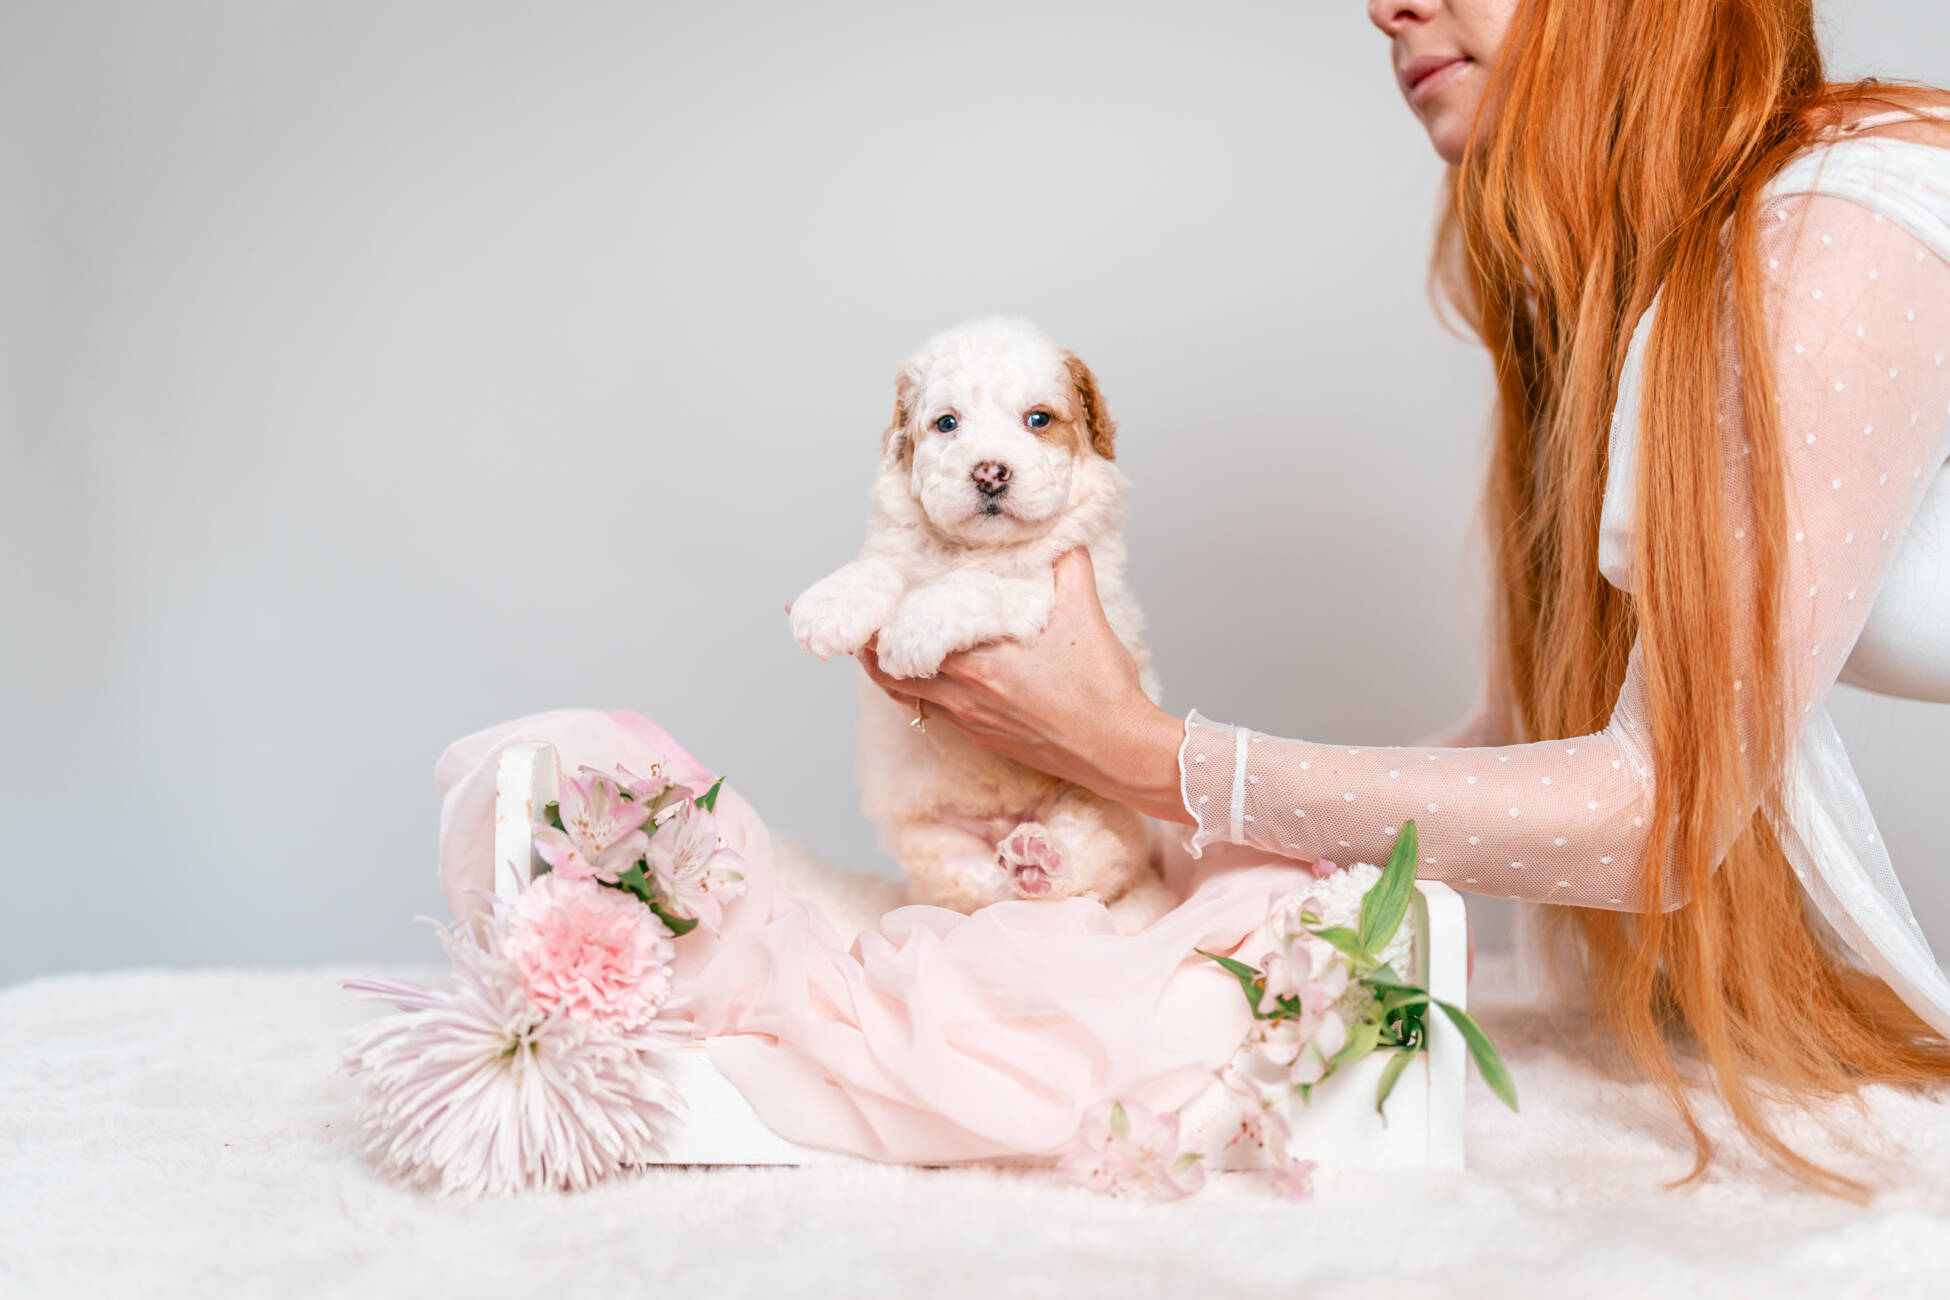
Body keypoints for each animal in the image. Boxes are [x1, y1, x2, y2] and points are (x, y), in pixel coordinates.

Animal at [789, 317, 1175, 932]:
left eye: (1038, 419)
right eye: (947, 423)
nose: (990, 473)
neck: (973, 549)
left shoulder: (1050, 588)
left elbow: (978, 587)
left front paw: (914, 628)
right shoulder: (903, 548)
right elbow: (881, 565)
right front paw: (828, 606)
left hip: (1101, 804)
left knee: (1087, 874)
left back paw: (1040, 859)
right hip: (934, 843)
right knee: (976, 897)